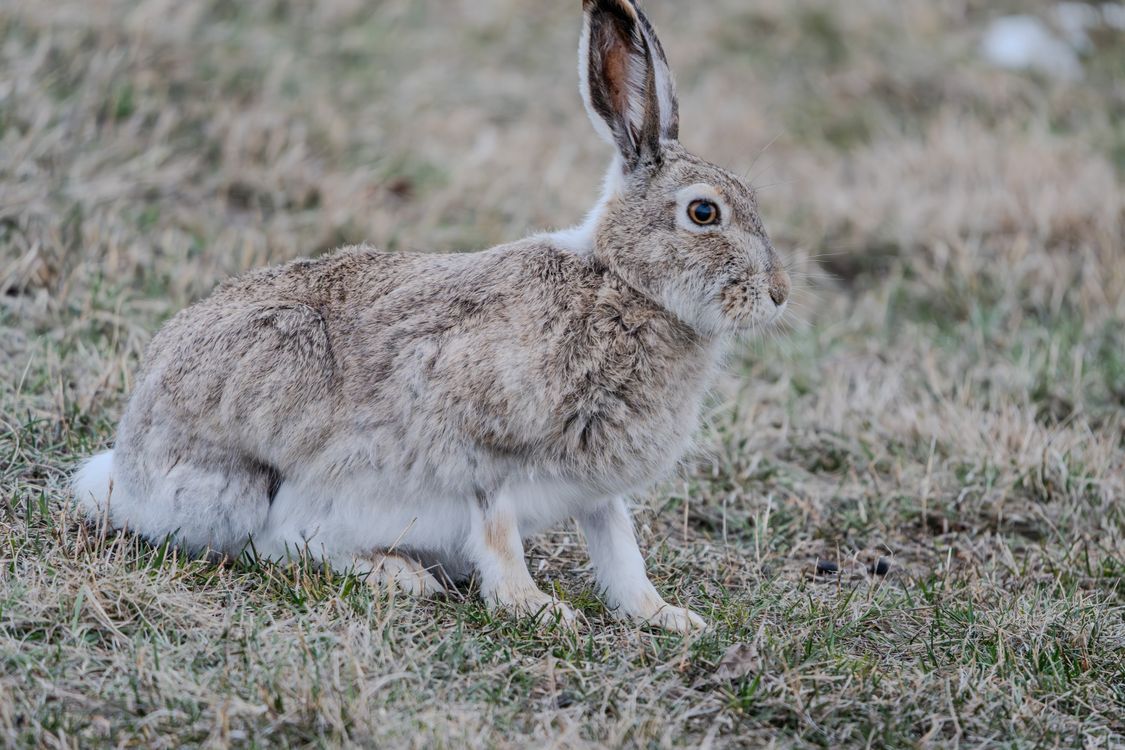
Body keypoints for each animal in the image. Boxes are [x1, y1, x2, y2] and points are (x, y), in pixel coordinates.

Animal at [72, 0, 790, 633]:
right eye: (703, 213)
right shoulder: (479, 438)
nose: (780, 292)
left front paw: (667, 617)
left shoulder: (596, 486)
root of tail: (127, 470)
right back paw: (402, 576)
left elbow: (620, 547)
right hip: (258, 465)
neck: (622, 285)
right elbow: (498, 530)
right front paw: (536, 609)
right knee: (274, 543)